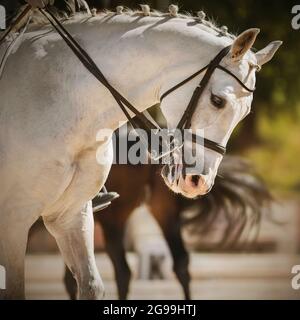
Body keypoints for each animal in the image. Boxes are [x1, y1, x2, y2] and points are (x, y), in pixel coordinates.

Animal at [0, 6, 282, 298]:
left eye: (245, 113)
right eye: (217, 101)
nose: (198, 182)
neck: (63, 97)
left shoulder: (71, 215)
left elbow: (90, 285)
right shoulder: (14, 220)